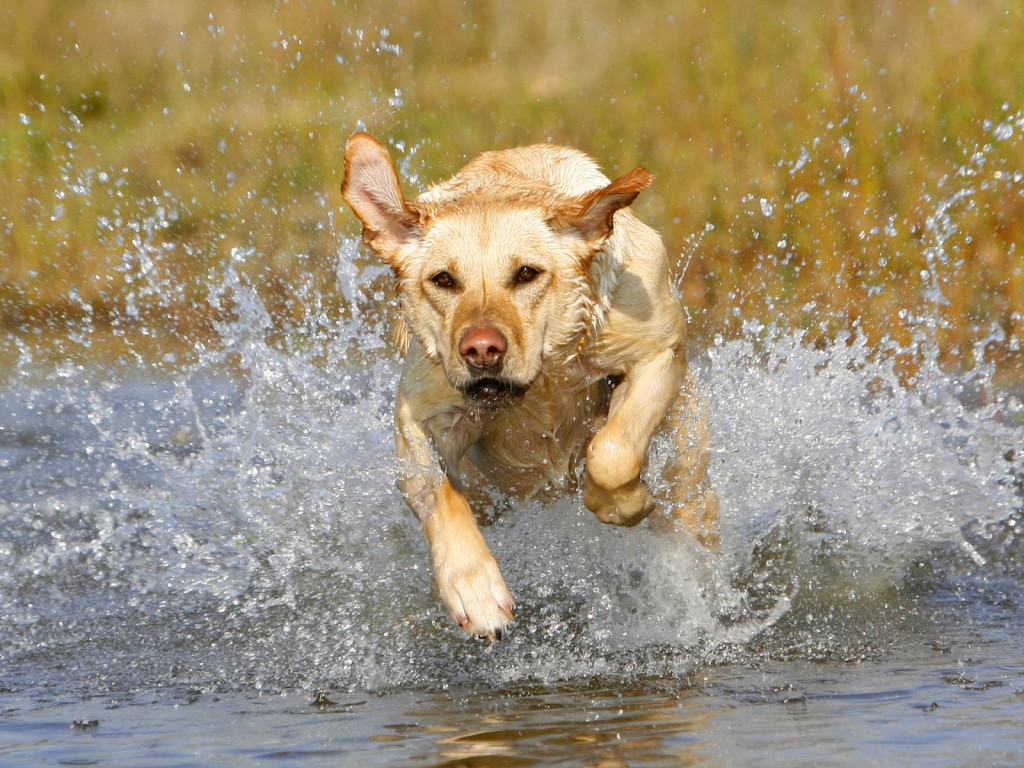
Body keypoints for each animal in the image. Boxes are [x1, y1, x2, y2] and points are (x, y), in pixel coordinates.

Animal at [339, 134, 716, 643]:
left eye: (526, 273)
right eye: (443, 279)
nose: (481, 350)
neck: (542, 384)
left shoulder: (656, 353)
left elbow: (612, 452)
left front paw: (628, 502)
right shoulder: (420, 410)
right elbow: (438, 493)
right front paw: (475, 591)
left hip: (690, 478)